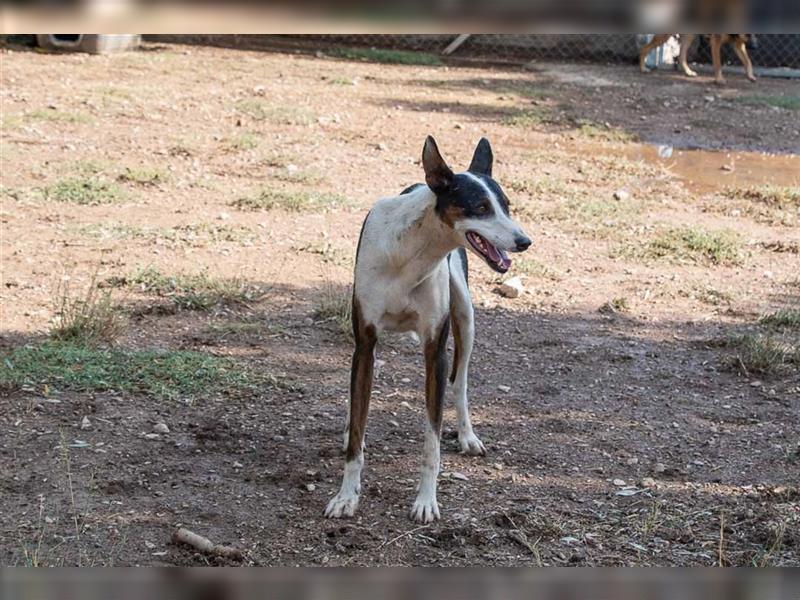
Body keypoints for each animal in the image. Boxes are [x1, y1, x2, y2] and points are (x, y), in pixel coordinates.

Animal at [324, 135, 532, 520]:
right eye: (481, 207)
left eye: (507, 206)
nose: (524, 241)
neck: (410, 255)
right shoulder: (365, 345)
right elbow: (358, 431)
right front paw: (346, 496)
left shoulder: (435, 351)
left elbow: (431, 443)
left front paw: (425, 501)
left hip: (465, 318)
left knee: (460, 382)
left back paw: (467, 435)